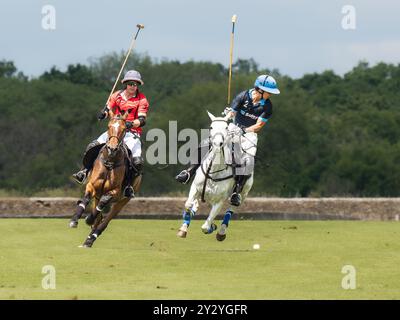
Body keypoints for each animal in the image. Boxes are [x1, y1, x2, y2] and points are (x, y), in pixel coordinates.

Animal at [69, 110, 141, 248]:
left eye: (124, 129)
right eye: (108, 126)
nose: (112, 149)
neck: (110, 162)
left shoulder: (114, 192)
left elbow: (103, 203)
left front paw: (88, 219)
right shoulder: (92, 186)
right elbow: (86, 199)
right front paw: (74, 220)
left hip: (122, 201)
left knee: (104, 221)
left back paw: (91, 239)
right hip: (97, 196)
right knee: (98, 217)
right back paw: (87, 240)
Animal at [177, 111, 255, 241]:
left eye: (226, 127)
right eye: (211, 127)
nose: (218, 144)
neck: (214, 170)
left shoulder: (219, 201)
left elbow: (205, 227)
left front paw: (212, 226)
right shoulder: (195, 188)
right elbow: (188, 205)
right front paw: (183, 228)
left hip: (244, 193)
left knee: (231, 208)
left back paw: (221, 232)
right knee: (194, 205)